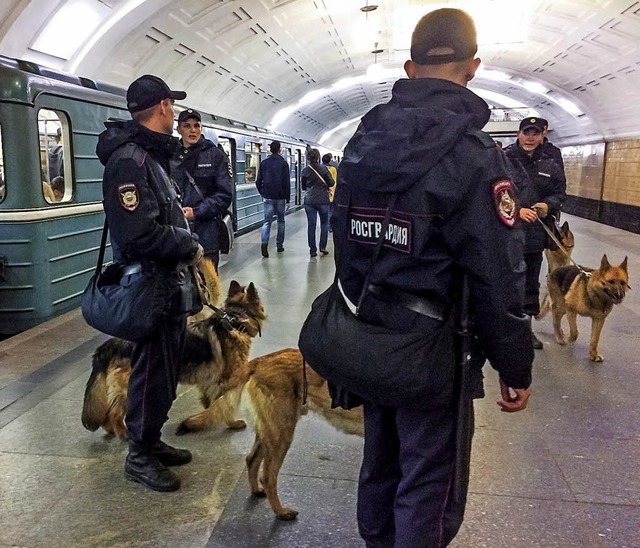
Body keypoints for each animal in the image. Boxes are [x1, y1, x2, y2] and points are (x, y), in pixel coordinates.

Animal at [81, 260, 266, 438]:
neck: (235, 320)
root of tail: (111, 344)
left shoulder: (209, 380)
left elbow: (211, 401)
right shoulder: (226, 378)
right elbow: (224, 403)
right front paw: (230, 422)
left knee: (107, 414)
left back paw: (113, 431)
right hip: (130, 390)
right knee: (114, 413)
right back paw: (124, 434)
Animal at [175, 348, 364, 520]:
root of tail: (262, 359)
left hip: (269, 430)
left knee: (252, 460)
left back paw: (257, 491)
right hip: (281, 433)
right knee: (267, 476)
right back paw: (280, 512)